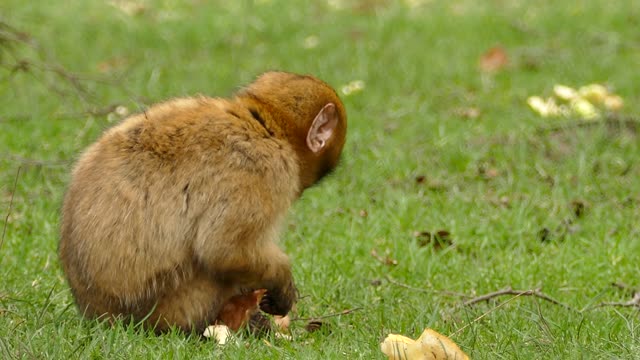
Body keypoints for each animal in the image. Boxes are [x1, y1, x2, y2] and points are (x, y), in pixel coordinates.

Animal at [58, 71, 348, 334]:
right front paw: (282, 284)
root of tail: (98, 314)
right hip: (176, 305)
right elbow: (223, 250)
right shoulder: (264, 169)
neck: (264, 126)